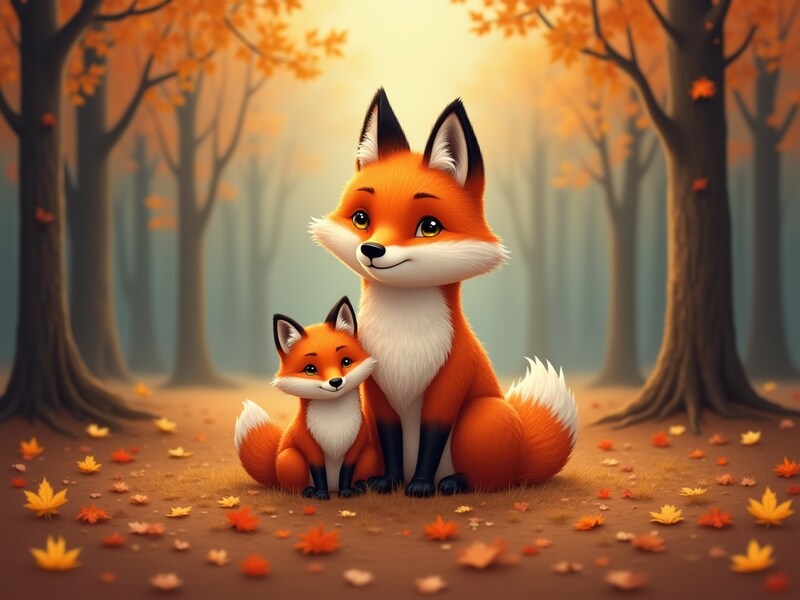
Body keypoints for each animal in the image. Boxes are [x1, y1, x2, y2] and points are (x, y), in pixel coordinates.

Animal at [234, 297, 381, 499]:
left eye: (346, 362)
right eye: (310, 369)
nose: (336, 382)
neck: (334, 421)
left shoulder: (356, 443)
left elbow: (346, 471)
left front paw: (346, 491)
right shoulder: (308, 444)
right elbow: (318, 472)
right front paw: (321, 495)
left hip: (370, 456)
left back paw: (358, 487)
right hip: (290, 457)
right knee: (291, 486)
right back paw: (307, 492)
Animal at [309, 89, 579, 497]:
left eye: (429, 226)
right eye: (361, 219)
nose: (371, 250)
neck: (403, 335)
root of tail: (525, 453)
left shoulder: (448, 384)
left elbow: (432, 439)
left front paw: (420, 485)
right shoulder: (377, 393)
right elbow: (390, 437)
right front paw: (390, 481)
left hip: (482, 418)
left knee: (493, 479)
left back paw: (454, 482)